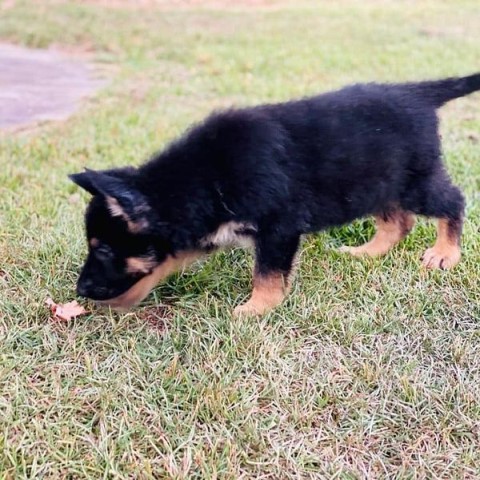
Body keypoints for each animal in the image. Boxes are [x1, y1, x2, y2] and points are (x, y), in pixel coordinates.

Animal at [71, 73, 480, 316]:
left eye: (102, 249)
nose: (81, 290)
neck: (202, 178)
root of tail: (416, 92)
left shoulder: (278, 228)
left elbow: (266, 274)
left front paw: (256, 309)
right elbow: (165, 261)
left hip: (414, 182)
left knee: (452, 201)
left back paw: (445, 253)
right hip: (374, 182)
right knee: (398, 222)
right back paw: (368, 252)